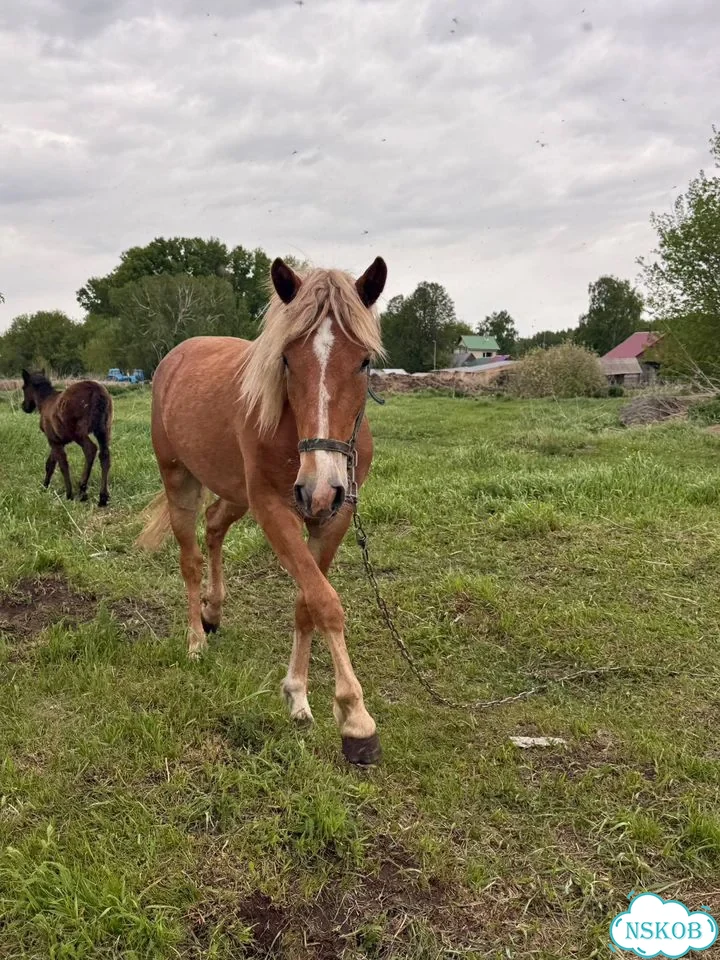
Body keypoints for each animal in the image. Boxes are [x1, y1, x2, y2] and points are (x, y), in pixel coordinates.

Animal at [21, 370, 113, 507]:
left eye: (23, 388)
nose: (24, 407)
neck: (45, 402)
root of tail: (97, 391)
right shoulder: (57, 440)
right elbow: (50, 463)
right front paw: (44, 487)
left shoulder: (53, 440)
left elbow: (62, 464)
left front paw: (69, 494)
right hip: (103, 429)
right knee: (105, 455)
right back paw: (103, 497)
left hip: (78, 432)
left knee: (90, 449)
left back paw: (82, 490)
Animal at [136, 257, 387, 765]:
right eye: (287, 359)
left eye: (364, 361)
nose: (318, 487)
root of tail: (177, 355)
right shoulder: (275, 510)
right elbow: (325, 601)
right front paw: (355, 717)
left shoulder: (334, 516)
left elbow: (307, 602)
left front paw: (297, 693)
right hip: (180, 482)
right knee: (190, 559)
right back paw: (195, 639)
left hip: (235, 494)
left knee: (214, 527)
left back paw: (213, 613)